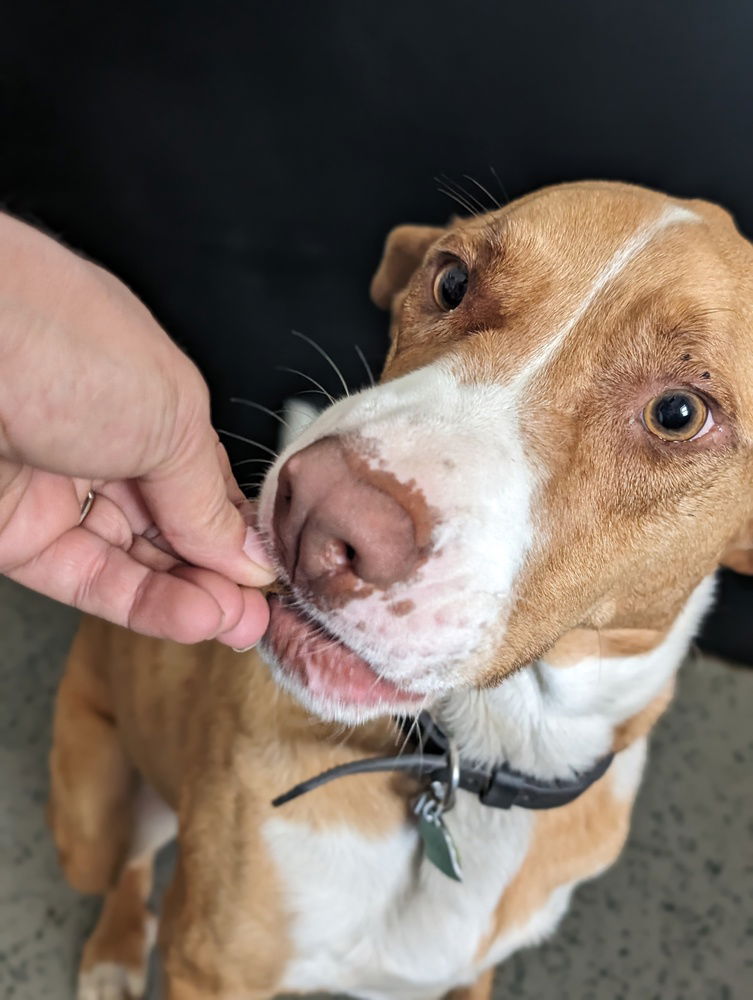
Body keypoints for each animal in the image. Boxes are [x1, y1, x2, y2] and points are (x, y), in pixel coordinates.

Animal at [50, 182, 752, 1000]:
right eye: (451, 279)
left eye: (679, 414)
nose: (318, 516)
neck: (480, 756)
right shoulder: (209, 967)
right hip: (94, 817)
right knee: (123, 863)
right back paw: (114, 949)